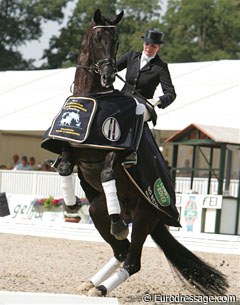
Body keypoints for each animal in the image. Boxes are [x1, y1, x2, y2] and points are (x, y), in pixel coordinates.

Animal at [41, 10, 229, 296]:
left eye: (116, 41)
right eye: (97, 37)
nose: (108, 75)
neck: (95, 97)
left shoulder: (115, 148)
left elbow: (107, 173)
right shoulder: (70, 147)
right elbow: (63, 166)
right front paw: (71, 206)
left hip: (143, 217)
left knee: (132, 260)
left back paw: (101, 286)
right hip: (98, 211)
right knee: (122, 251)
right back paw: (92, 282)